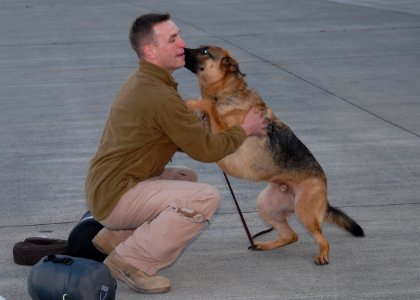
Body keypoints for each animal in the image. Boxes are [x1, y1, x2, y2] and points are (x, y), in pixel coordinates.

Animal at [185, 45, 364, 264]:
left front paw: (193, 103)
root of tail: (323, 187)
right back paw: (264, 245)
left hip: (304, 211)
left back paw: (322, 256)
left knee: (322, 238)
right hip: (266, 206)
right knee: (291, 235)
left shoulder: (224, 134)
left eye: (204, 51)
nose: (183, 48)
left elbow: (209, 106)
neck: (227, 93)